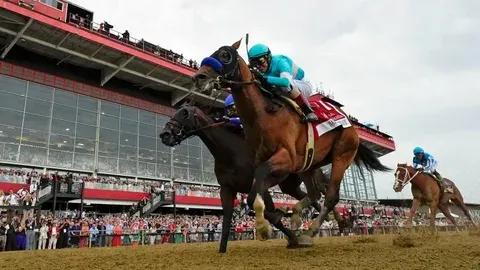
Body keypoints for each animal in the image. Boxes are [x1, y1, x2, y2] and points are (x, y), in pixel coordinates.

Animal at [161, 104, 338, 252]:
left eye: (184, 113)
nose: (165, 134)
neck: (232, 153)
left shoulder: (261, 186)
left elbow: (270, 214)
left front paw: (292, 236)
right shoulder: (227, 189)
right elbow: (227, 219)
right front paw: (222, 250)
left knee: (320, 193)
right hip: (289, 186)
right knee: (311, 197)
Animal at [191, 40, 390, 238]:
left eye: (225, 55)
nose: (199, 77)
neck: (264, 114)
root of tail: (349, 122)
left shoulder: (285, 158)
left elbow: (257, 187)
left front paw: (263, 224)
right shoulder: (262, 162)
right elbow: (258, 188)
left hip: (342, 155)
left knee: (331, 196)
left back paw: (314, 228)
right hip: (308, 166)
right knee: (315, 193)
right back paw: (311, 218)